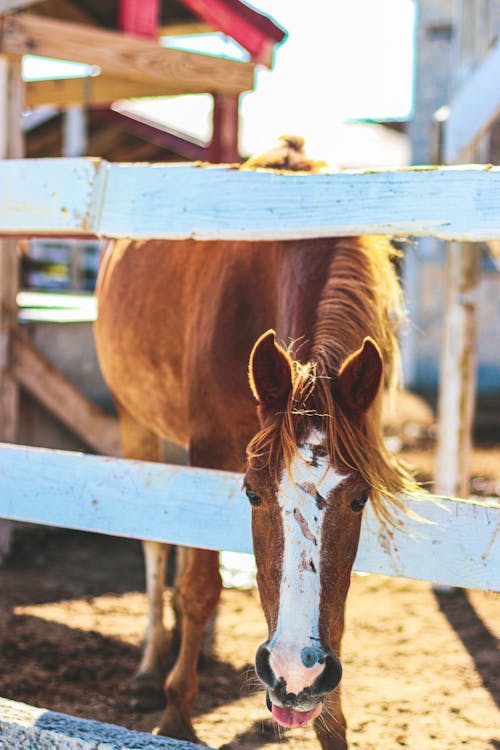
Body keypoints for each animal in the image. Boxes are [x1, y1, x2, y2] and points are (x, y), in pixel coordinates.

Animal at [93, 138, 414, 748]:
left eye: (360, 498)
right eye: (252, 494)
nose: (294, 672)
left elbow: (332, 613)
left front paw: (328, 720)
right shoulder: (210, 450)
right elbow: (198, 585)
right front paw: (176, 711)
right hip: (135, 422)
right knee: (155, 546)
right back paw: (150, 666)